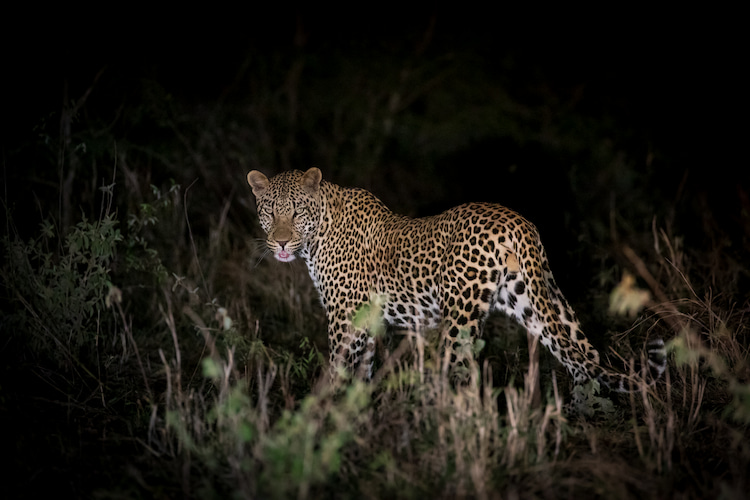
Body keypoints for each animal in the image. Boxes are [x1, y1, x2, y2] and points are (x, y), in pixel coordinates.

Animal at [247, 167, 666, 392]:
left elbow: (335, 371)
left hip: (460, 320)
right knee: (583, 357)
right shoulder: (370, 322)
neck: (317, 233)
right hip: (533, 300)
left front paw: (315, 418)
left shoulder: (345, 319)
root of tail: (517, 222)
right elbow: (362, 373)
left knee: (463, 376)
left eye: (297, 211)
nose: (279, 242)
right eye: (269, 211)